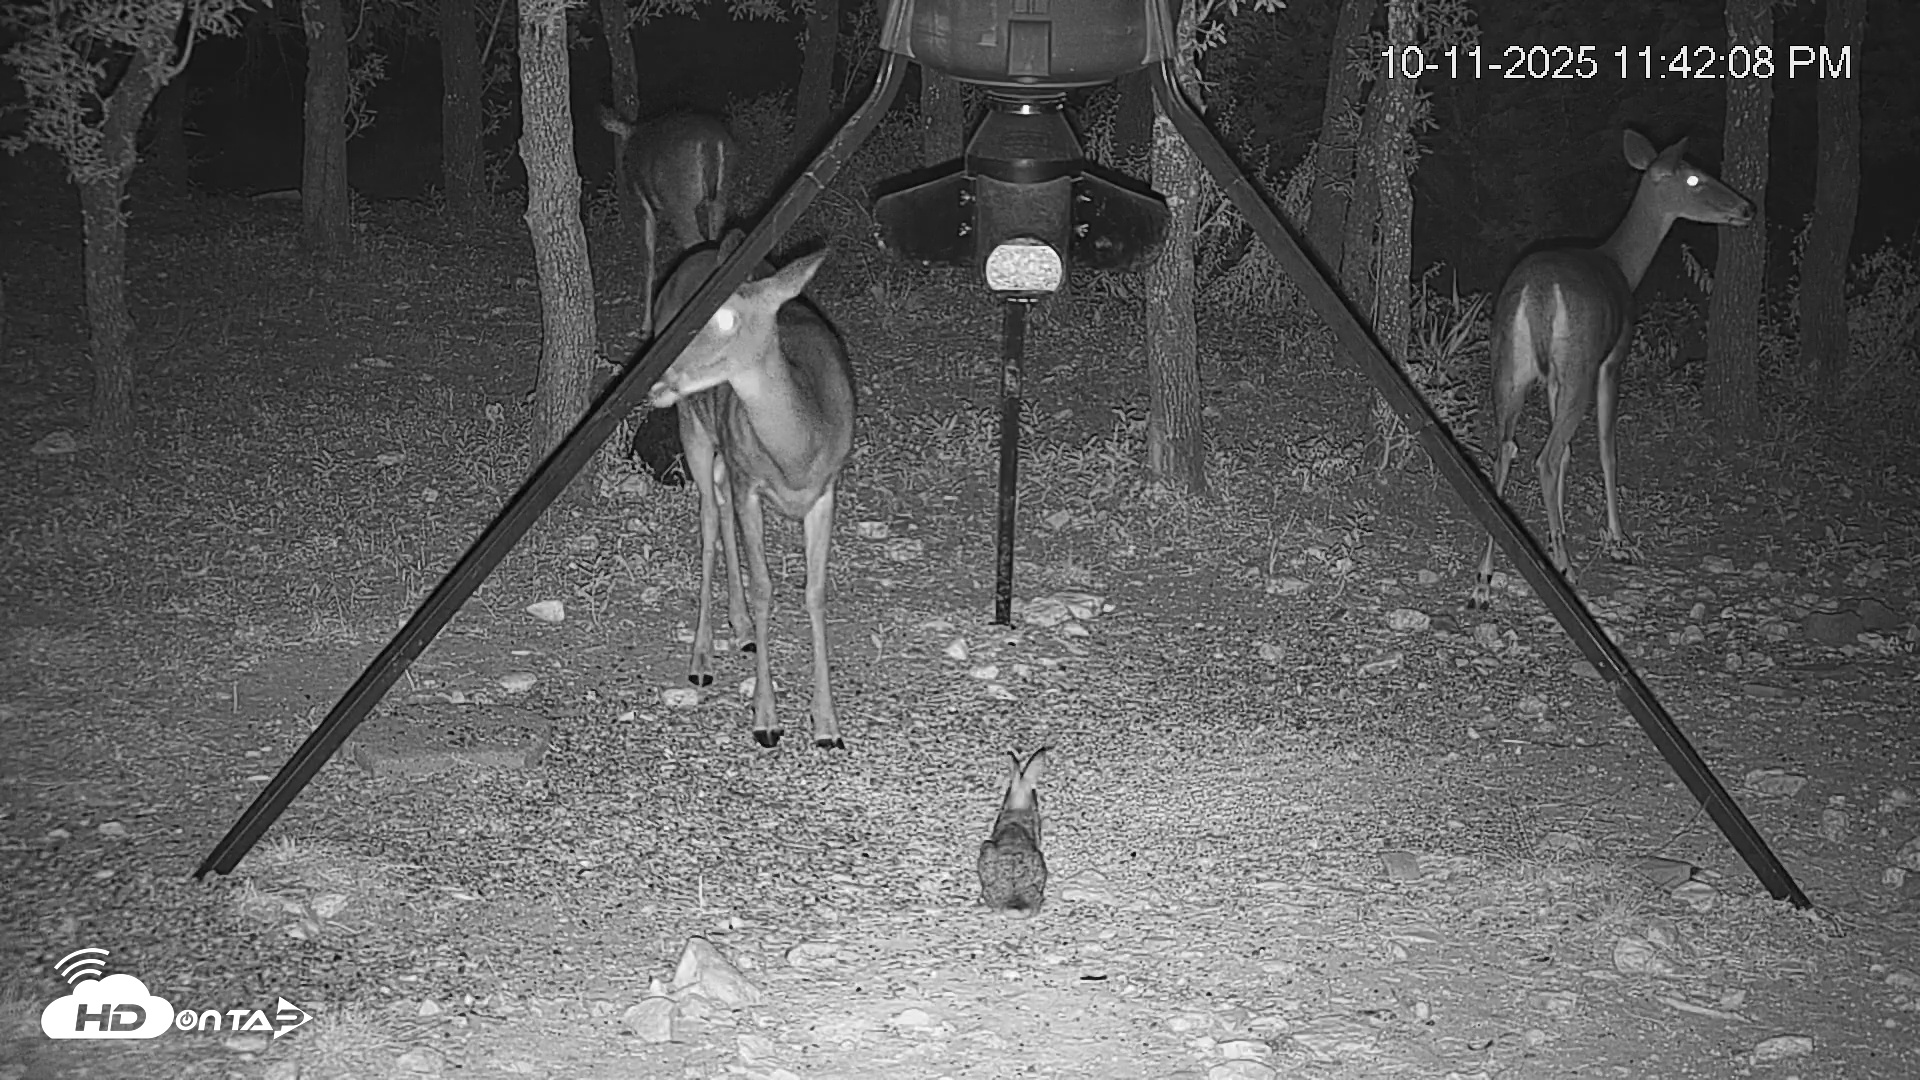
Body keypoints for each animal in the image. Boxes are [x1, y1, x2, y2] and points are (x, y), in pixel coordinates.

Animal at [647, 239, 854, 749]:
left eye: (725, 318)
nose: (656, 379)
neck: (799, 448)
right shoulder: (751, 483)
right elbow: (764, 588)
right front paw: (766, 719)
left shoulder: (827, 489)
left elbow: (816, 592)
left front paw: (827, 725)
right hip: (693, 426)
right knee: (707, 519)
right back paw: (702, 659)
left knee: (718, 507)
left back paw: (740, 628)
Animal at [1471, 130, 1753, 609]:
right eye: (1695, 177)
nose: (1747, 208)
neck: (1622, 266)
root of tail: (1535, 292)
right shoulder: (1612, 359)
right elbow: (1606, 449)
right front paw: (1619, 542)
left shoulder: (1554, 380)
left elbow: (1570, 454)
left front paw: (1559, 535)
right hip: (1579, 366)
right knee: (1543, 457)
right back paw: (1565, 568)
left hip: (1508, 368)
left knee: (1505, 451)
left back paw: (1483, 581)